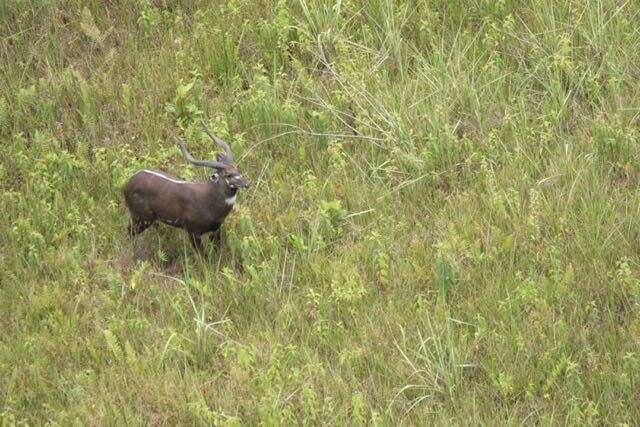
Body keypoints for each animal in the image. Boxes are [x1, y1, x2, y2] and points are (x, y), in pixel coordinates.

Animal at [124, 125, 249, 256]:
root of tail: (127, 185)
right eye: (228, 175)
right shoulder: (192, 230)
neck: (210, 202)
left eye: (237, 169)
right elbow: (203, 256)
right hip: (141, 217)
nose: (246, 184)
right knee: (130, 232)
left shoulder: (216, 229)